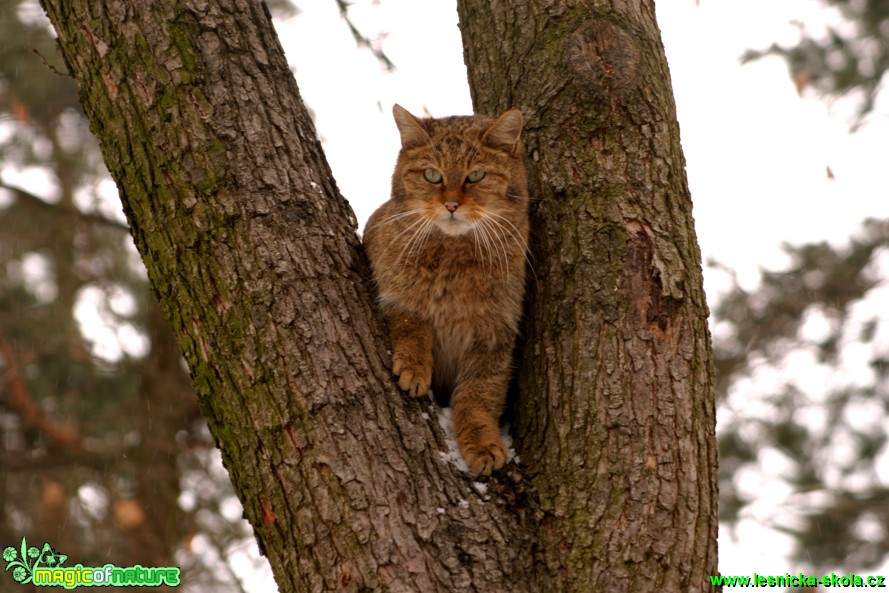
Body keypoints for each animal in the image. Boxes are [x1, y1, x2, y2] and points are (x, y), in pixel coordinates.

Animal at [364, 104, 532, 474]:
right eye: (431, 175)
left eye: (475, 176)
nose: (452, 204)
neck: (454, 259)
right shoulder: (395, 296)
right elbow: (412, 324)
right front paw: (414, 367)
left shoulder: (495, 334)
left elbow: (479, 394)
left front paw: (481, 442)